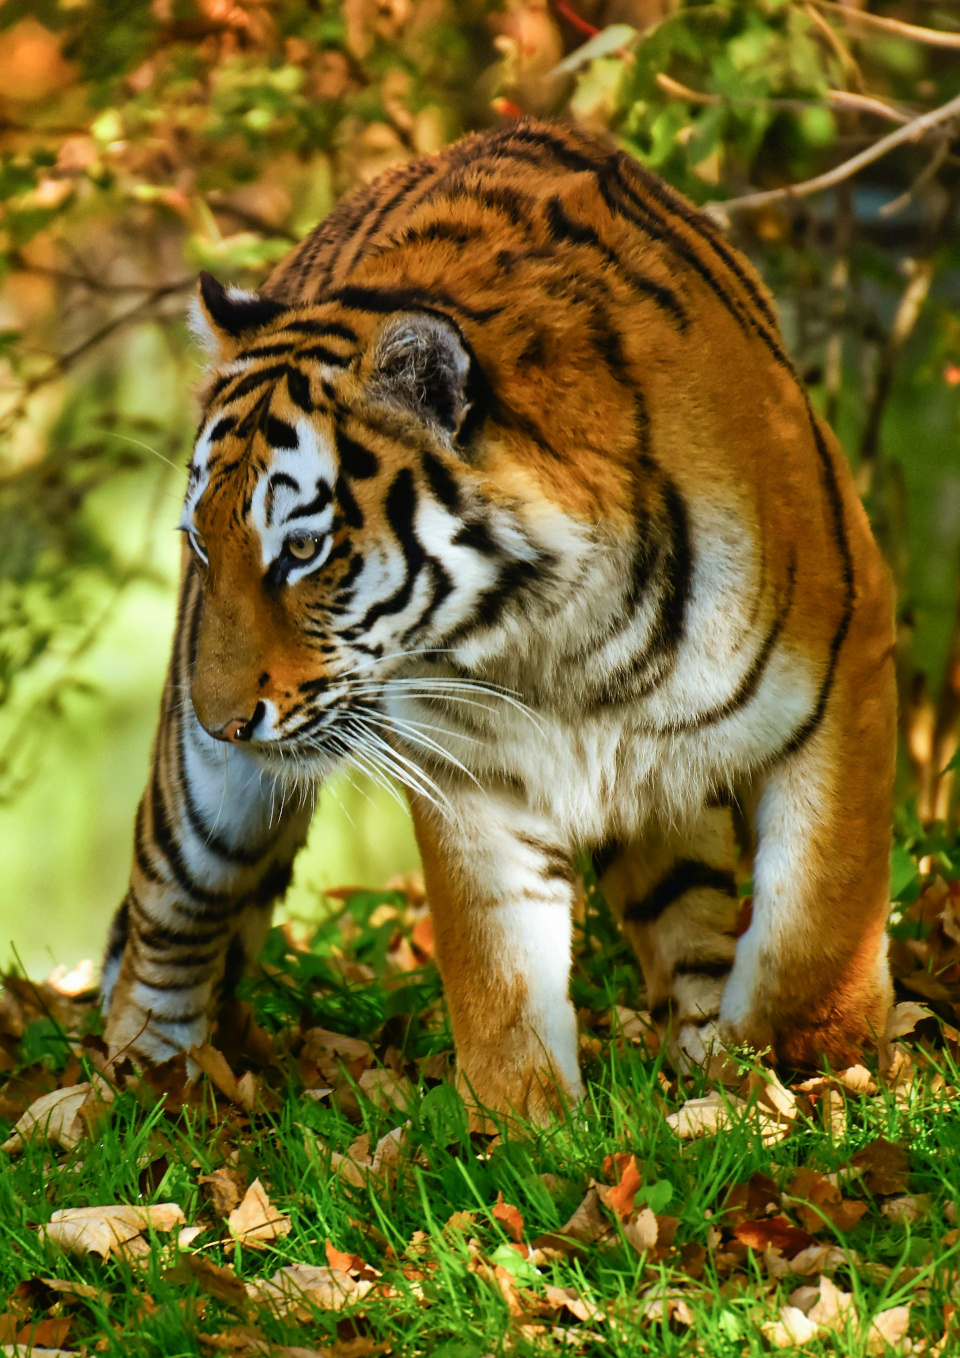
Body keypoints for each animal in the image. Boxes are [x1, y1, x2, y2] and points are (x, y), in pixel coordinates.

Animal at [101, 118, 897, 1122]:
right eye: (204, 544)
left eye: (302, 550)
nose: (223, 721)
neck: (560, 637)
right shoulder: (467, 768)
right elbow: (500, 968)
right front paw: (526, 1129)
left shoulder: (846, 669)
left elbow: (818, 919)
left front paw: (808, 1065)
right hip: (205, 807)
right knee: (164, 926)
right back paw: (139, 1097)